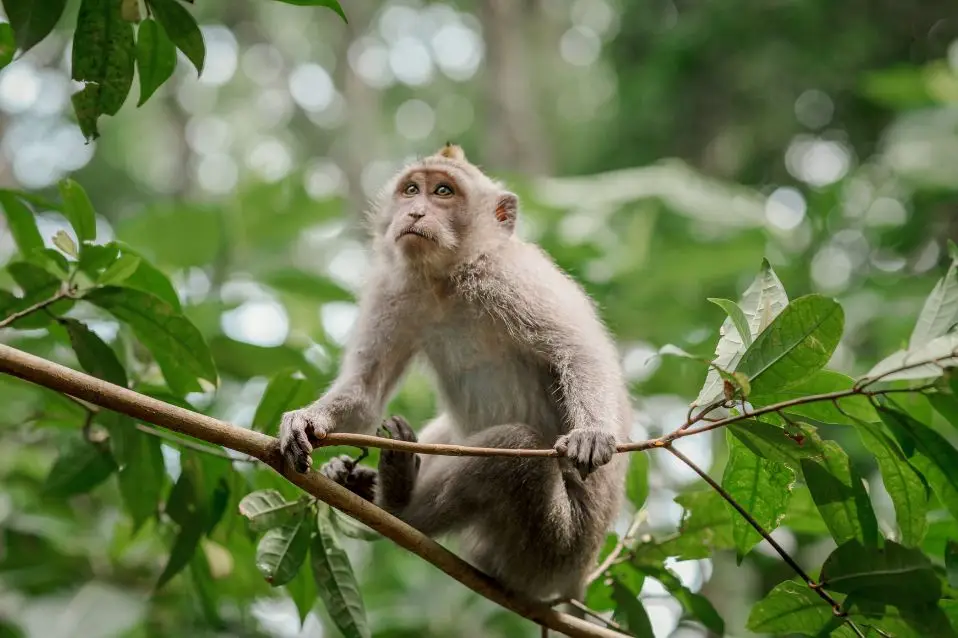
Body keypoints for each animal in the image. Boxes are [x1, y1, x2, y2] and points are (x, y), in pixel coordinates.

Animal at [280, 142, 636, 608]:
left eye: (443, 192)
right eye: (412, 189)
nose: (414, 212)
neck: (449, 279)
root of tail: (574, 581)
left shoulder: (512, 277)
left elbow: (581, 353)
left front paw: (591, 433)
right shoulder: (394, 288)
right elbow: (364, 392)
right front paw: (308, 421)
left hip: (547, 549)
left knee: (515, 448)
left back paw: (397, 505)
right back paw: (362, 479)